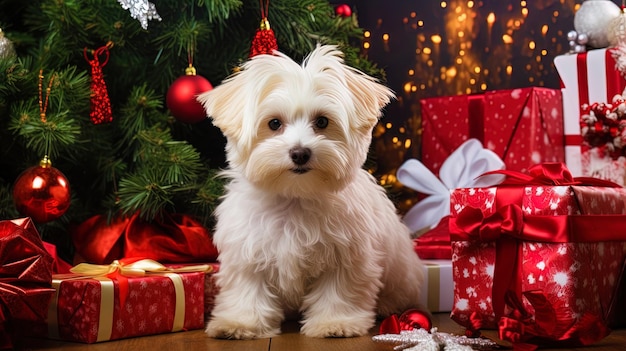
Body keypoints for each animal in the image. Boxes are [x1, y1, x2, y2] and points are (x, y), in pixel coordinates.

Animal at [197, 45, 424, 340]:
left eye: (322, 122)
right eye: (274, 124)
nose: (300, 153)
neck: (295, 198)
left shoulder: (346, 256)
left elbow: (338, 291)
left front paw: (334, 323)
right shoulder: (247, 252)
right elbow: (248, 289)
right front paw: (241, 322)